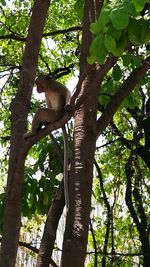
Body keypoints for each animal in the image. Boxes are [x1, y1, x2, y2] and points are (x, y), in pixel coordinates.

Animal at [24, 75, 71, 211]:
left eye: (37, 83)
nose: (36, 89)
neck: (48, 87)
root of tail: (60, 118)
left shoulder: (54, 85)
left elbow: (66, 91)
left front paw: (68, 104)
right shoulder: (46, 93)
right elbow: (48, 103)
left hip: (54, 115)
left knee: (40, 111)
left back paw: (32, 132)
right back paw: (41, 126)